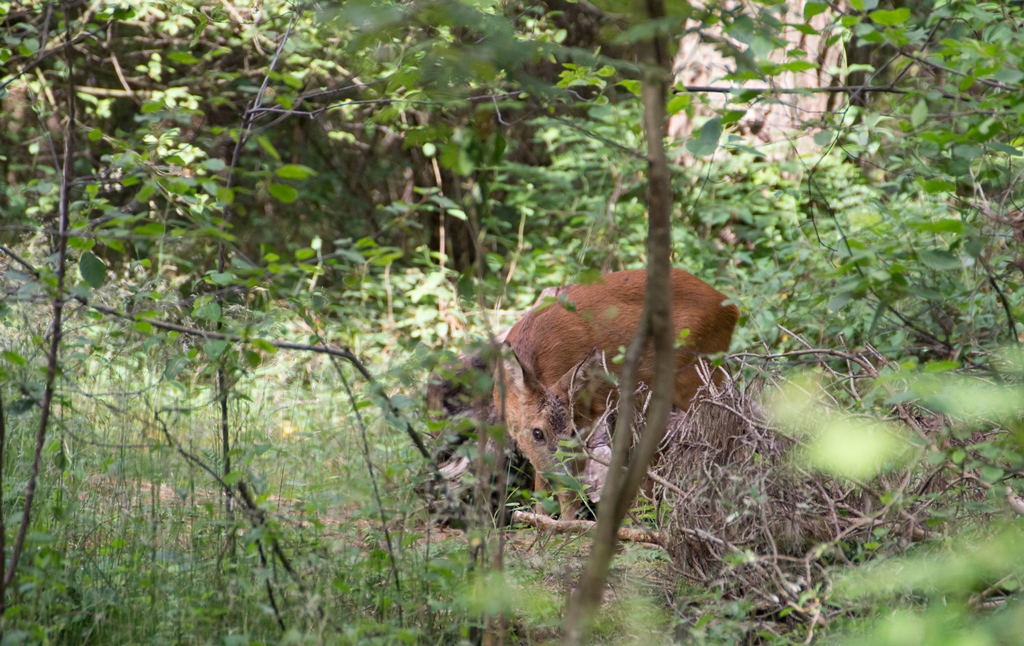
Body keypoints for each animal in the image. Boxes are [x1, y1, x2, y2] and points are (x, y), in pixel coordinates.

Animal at [493, 266, 737, 515]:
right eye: (537, 433)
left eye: (572, 432)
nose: (564, 480)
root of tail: (731, 308)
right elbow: (540, 485)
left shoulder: (586, 413)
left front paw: (565, 520)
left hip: (697, 375)